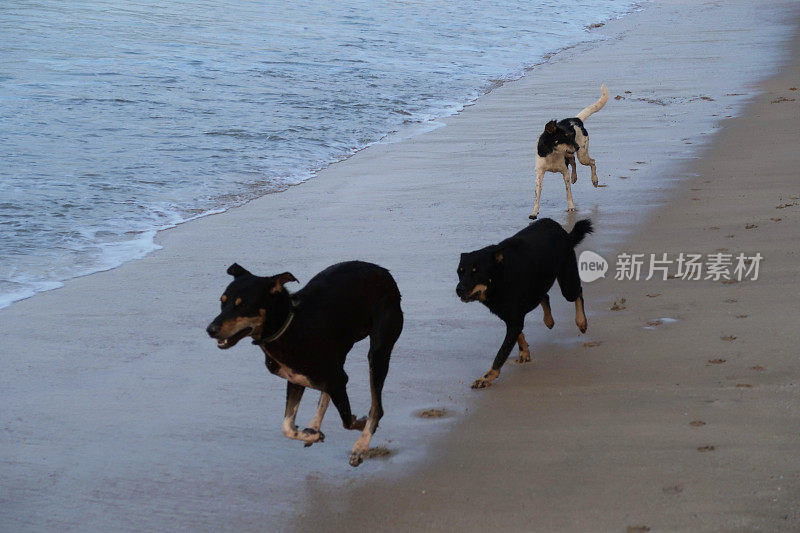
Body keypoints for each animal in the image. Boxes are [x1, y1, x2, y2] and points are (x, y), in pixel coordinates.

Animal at [206, 260, 404, 466]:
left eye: (243, 305)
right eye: (222, 301)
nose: (210, 330)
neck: (291, 327)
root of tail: (383, 271)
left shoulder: (337, 380)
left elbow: (347, 421)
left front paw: (360, 426)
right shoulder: (296, 379)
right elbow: (287, 426)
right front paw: (313, 435)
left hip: (379, 351)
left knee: (376, 407)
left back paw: (361, 445)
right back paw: (314, 425)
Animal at [454, 218, 592, 388]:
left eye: (476, 272)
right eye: (460, 271)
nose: (458, 290)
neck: (500, 278)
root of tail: (559, 228)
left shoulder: (514, 318)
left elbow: (501, 353)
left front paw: (486, 377)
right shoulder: (510, 315)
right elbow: (518, 334)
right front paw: (524, 351)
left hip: (567, 282)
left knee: (578, 293)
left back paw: (581, 322)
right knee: (545, 295)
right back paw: (549, 320)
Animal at [528, 84, 608, 217]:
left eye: (571, 136)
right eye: (564, 137)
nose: (577, 147)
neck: (553, 153)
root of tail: (577, 119)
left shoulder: (564, 172)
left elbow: (568, 192)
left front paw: (571, 207)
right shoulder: (539, 174)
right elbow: (537, 195)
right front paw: (534, 212)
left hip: (582, 156)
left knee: (592, 161)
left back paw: (594, 180)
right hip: (571, 154)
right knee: (574, 161)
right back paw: (574, 177)